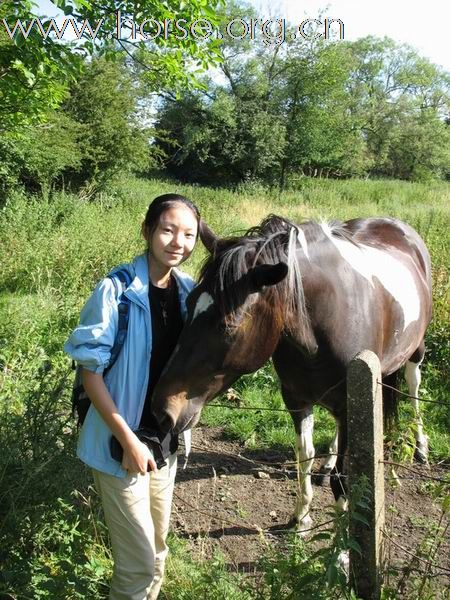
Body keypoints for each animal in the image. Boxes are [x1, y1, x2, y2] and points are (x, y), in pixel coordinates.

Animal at [152, 216, 432, 528]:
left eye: (228, 326)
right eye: (188, 304)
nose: (162, 409)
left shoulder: (350, 404)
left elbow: (342, 479)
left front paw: (340, 541)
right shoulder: (297, 400)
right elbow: (305, 456)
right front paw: (301, 516)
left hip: (415, 351)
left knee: (414, 387)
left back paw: (421, 447)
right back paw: (328, 462)